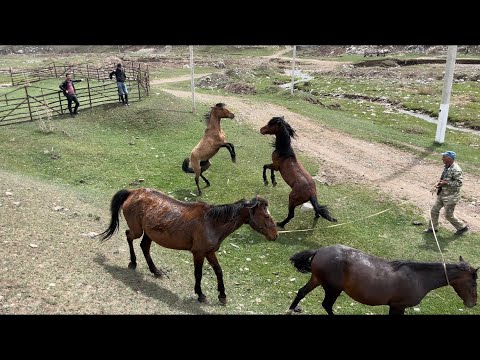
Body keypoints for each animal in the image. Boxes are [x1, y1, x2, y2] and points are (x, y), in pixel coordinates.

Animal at [98, 188, 278, 304]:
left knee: (144, 246)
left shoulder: (210, 252)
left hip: (149, 233)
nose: (275, 234)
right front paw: (200, 294)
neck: (212, 222)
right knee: (129, 236)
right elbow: (198, 274)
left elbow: (219, 271)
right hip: (137, 230)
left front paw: (222, 295)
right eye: (265, 215)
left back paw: (155, 270)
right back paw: (133, 263)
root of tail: (133, 192)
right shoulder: (198, 253)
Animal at [286, 245, 478, 316]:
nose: (473, 303)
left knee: (301, 292)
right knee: (326, 305)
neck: (419, 278)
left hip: (317, 279)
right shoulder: (398, 306)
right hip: (333, 289)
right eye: (474, 282)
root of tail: (320, 250)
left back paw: (291, 309)